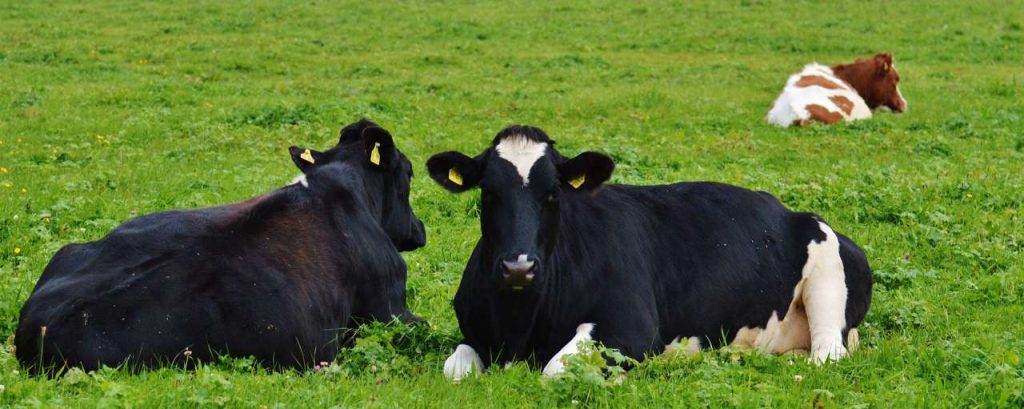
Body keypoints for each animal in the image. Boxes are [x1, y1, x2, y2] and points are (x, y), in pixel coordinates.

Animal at [427, 126, 872, 380]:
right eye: (488, 192)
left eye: (552, 193)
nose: (518, 268)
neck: (520, 327)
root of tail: (789, 211)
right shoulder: (475, 333)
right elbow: (454, 369)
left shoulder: (631, 327)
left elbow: (556, 369)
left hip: (827, 278)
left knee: (827, 354)